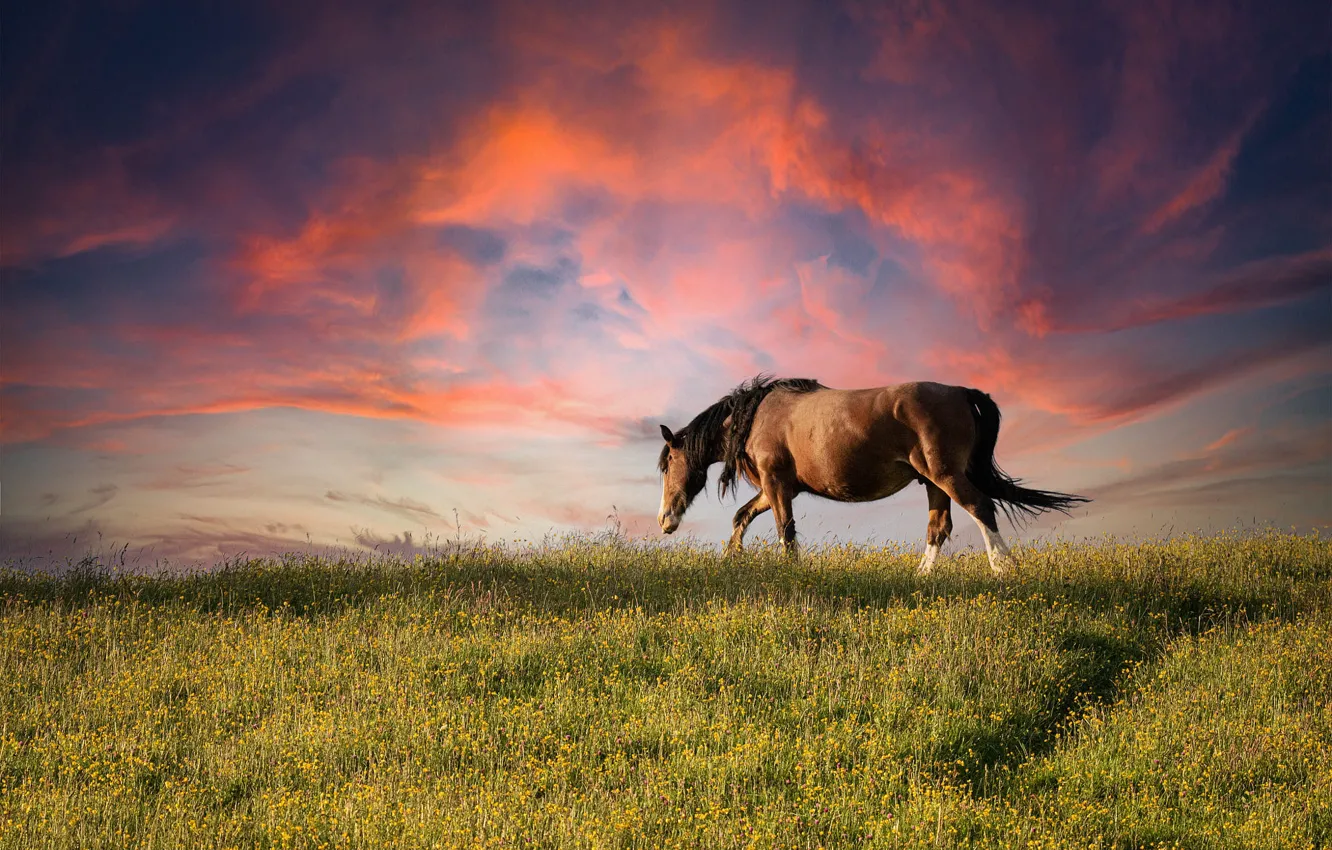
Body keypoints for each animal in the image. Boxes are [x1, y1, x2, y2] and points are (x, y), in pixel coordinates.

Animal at [656, 375, 1088, 574]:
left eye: (668, 465)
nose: (664, 520)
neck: (758, 416)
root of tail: (960, 391)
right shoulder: (778, 488)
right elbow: (741, 517)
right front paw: (733, 558)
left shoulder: (777, 485)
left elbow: (785, 532)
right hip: (933, 482)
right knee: (939, 528)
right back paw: (921, 577)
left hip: (947, 476)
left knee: (981, 508)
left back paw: (1003, 568)